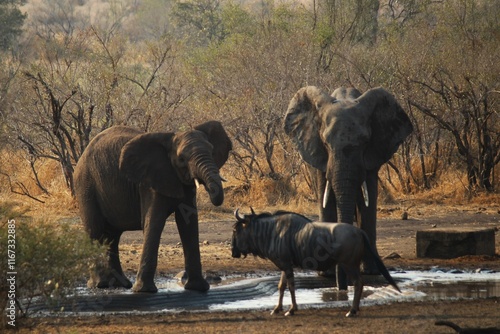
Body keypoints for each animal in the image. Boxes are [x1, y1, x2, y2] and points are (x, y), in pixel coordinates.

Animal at [73, 120, 232, 292]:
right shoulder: (149, 183)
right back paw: (100, 284)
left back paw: (119, 284)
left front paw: (198, 288)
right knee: (95, 231)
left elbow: (188, 224)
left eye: (212, 151)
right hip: (86, 187)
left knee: (112, 237)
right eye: (182, 158)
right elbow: (153, 222)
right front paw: (144, 290)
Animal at [284, 87, 412, 282]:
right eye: (326, 143)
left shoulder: (372, 155)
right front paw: (327, 273)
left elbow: (368, 204)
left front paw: (371, 272)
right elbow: (326, 202)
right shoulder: (319, 156)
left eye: (365, 142)